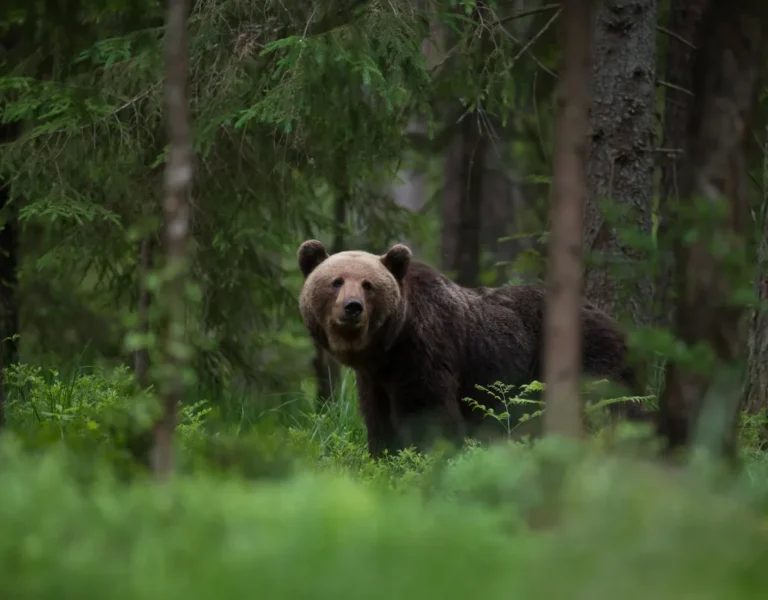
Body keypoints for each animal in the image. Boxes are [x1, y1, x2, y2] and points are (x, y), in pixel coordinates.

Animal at [297, 239, 650, 458]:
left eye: (368, 285)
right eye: (336, 281)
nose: (352, 308)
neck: (386, 346)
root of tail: (618, 325)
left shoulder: (423, 350)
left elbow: (427, 409)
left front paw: (426, 457)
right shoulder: (376, 378)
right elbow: (377, 417)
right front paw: (384, 456)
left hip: (588, 357)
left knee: (604, 409)